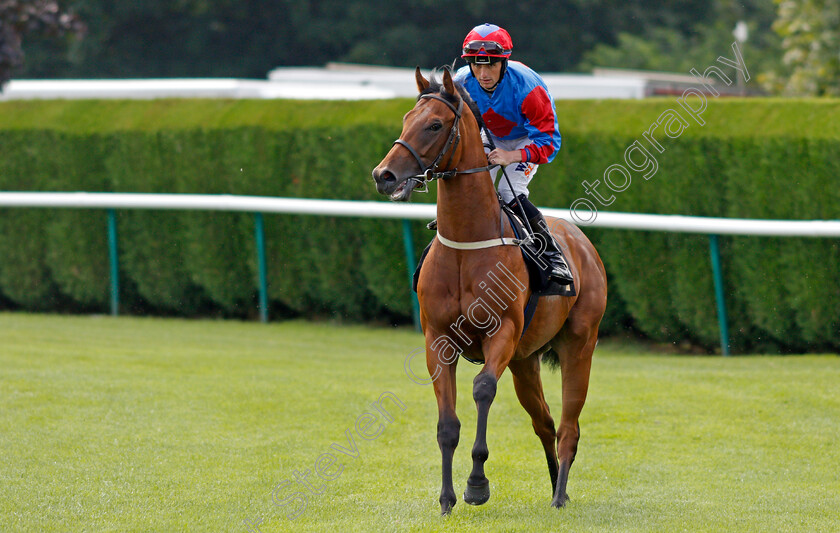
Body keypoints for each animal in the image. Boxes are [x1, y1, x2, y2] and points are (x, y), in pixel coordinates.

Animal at [372, 66, 604, 512]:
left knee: (569, 426)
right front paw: (446, 499)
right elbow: (447, 424)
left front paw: (476, 484)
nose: (384, 175)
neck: (467, 245)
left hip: (579, 345)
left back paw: (560, 496)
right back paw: (555, 485)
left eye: (435, 124)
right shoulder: (438, 340)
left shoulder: (503, 334)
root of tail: (583, 244)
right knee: (544, 422)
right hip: (525, 362)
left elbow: (482, 390)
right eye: (407, 119)